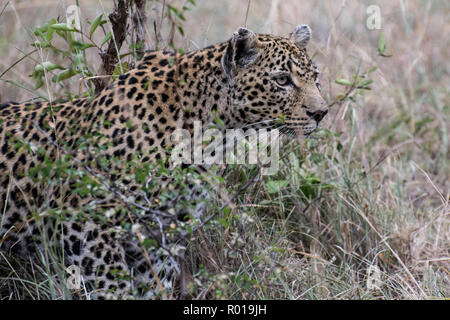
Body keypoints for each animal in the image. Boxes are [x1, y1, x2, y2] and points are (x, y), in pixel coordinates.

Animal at [0, 24, 326, 298]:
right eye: (282, 80)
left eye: (315, 78)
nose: (322, 112)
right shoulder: (87, 226)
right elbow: (113, 286)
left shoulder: (163, 233)